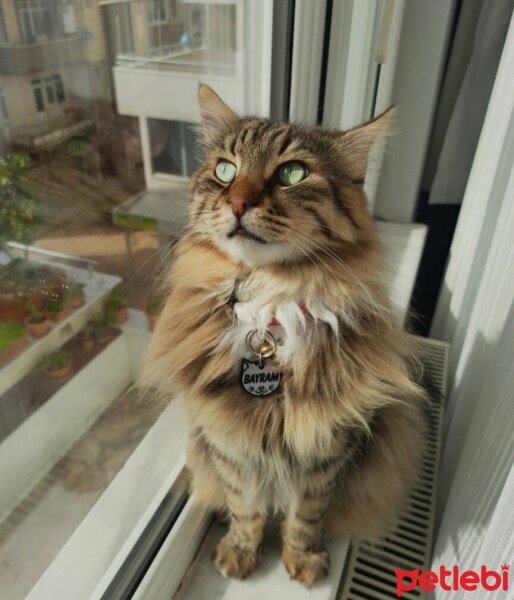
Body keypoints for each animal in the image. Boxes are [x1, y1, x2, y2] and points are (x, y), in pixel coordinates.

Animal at [140, 83, 424, 584]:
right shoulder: (229, 443)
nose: (237, 204)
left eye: (292, 173)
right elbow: (245, 509)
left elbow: (306, 516)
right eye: (225, 170)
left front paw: (304, 560)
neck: (270, 306)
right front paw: (240, 553)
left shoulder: (328, 450)